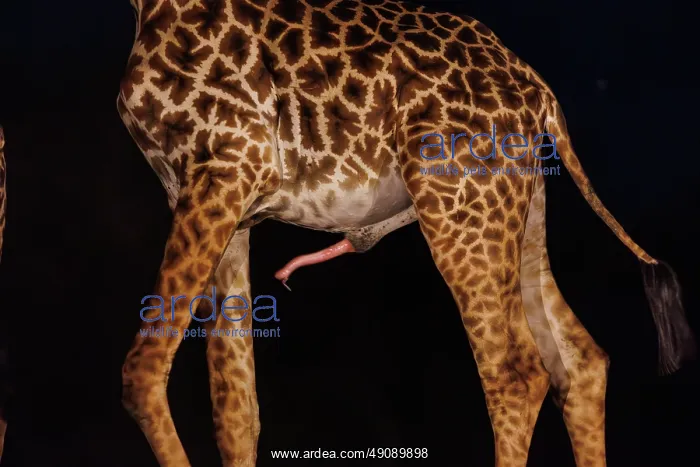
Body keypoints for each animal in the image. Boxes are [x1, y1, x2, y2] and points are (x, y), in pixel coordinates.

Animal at [117, 1, 696, 466]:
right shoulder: (221, 203)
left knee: (515, 373)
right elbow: (235, 411)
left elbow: (141, 374)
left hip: (460, 211)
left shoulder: (225, 167)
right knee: (580, 361)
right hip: (519, 216)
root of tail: (539, 93)